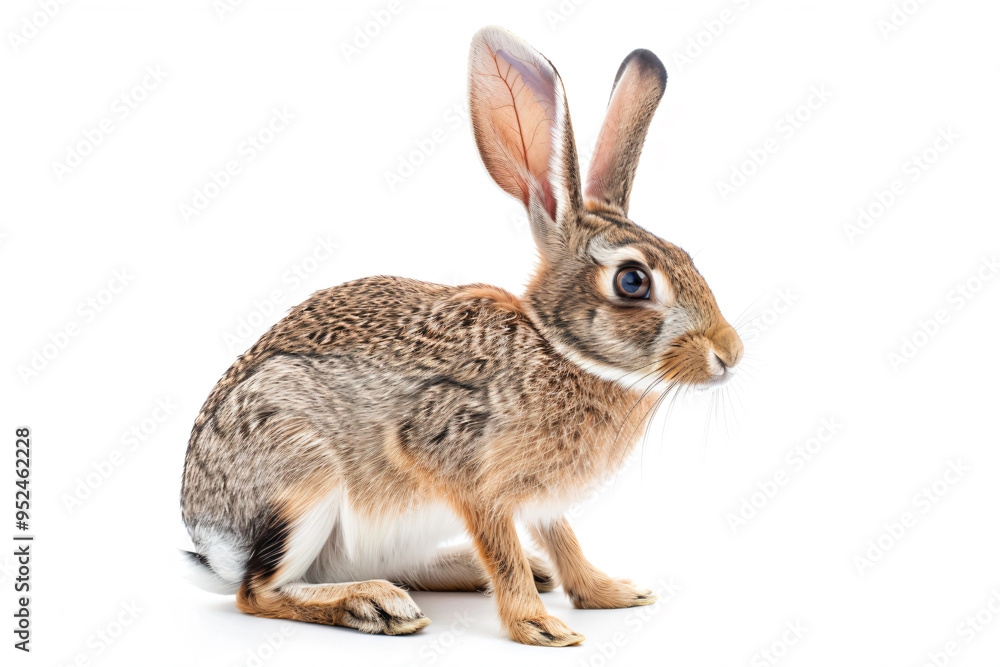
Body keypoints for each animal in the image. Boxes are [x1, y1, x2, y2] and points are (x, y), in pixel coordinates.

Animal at [180, 25, 743, 647]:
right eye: (632, 281)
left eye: (687, 256)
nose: (730, 354)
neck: (558, 349)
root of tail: (210, 538)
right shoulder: (465, 469)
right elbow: (501, 547)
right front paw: (538, 627)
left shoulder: (540, 498)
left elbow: (562, 538)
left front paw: (609, 593)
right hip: (303, 479)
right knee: (257, 592)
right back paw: (374, 605)